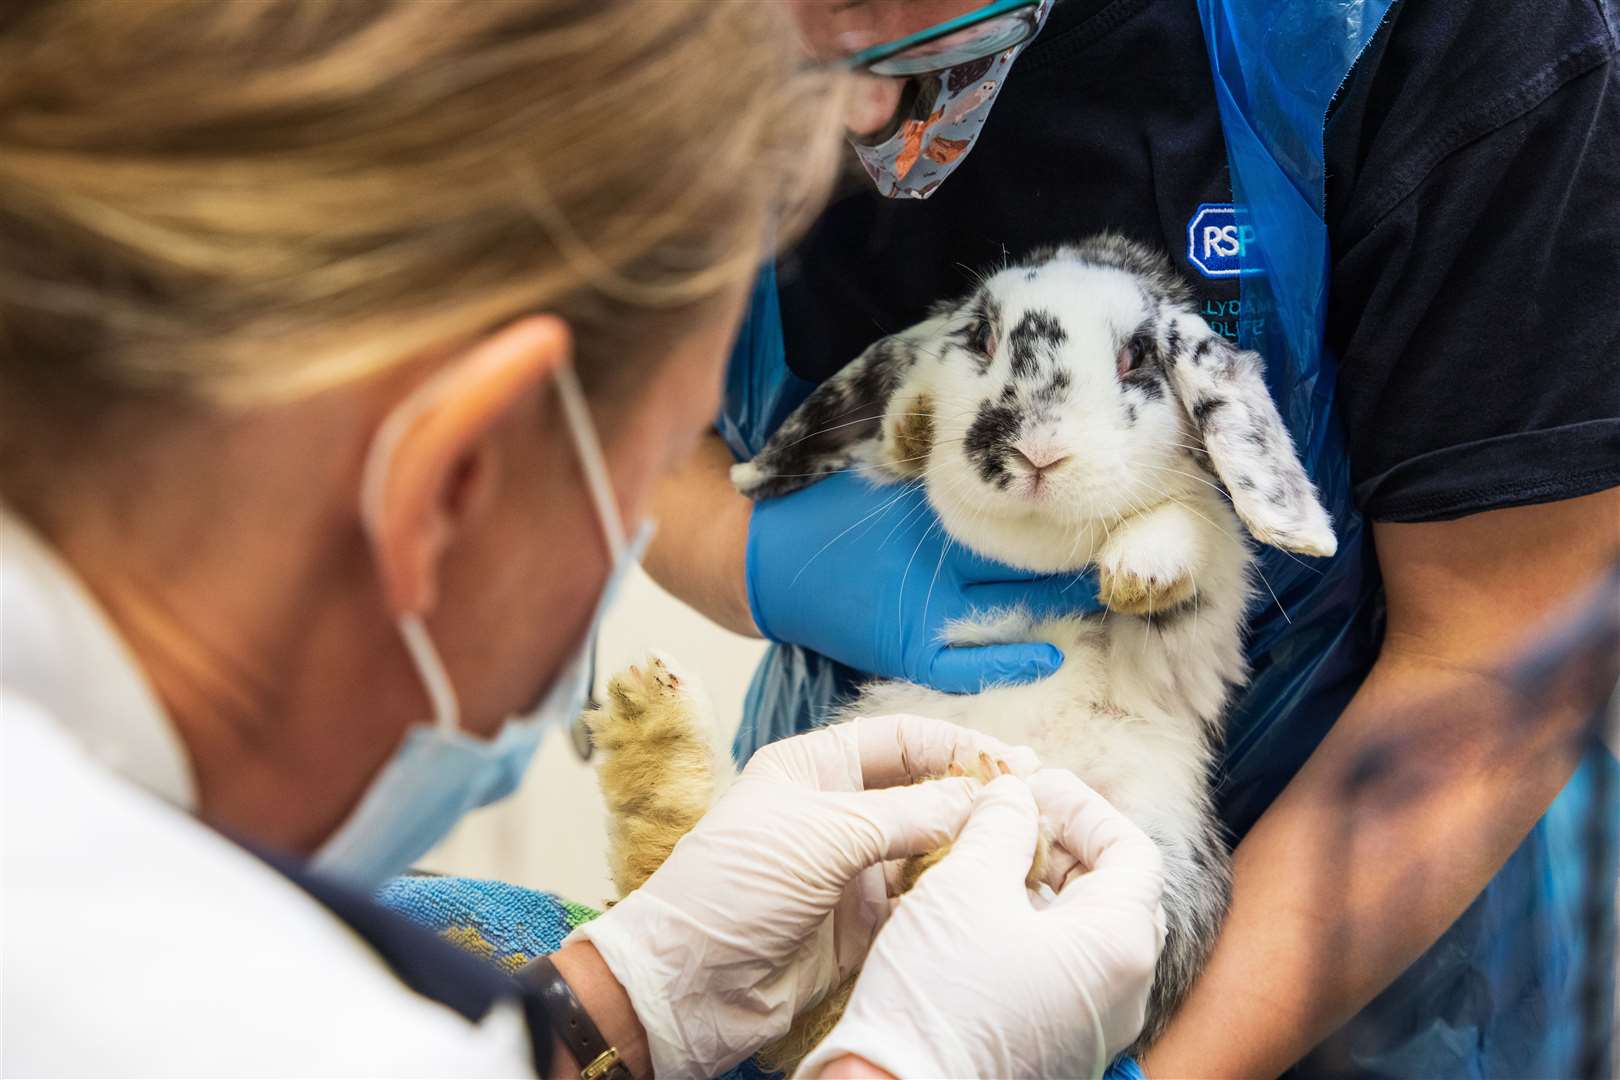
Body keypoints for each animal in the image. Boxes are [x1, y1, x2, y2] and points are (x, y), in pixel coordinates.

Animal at [589, 233, 1334, 1068]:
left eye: (1139, 357)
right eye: (979, 338)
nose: (1038, 449)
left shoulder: (1200, 631)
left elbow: (1199, 528)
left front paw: (1140, 568)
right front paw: (913, 421)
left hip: (1157, 874)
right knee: (688, 873)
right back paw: (650, 713)